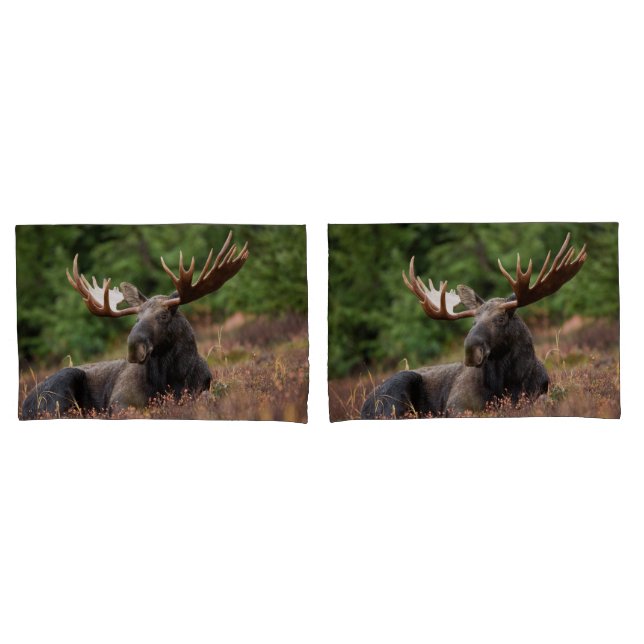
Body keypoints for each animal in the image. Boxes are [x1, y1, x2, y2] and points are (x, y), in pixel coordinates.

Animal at [21, 231, 249, 419]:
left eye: (164, 315)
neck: (171, 379)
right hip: (62, 385)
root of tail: (24, 406)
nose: (134, 347)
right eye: (136, 318)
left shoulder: (203, 389)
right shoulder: (120, 402)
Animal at [360, 233, 587, 419]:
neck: (509, 383)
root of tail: (364, 407)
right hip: (397, 388)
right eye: (473, 321)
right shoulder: (456, 406)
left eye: (501, 319)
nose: (471, 350)